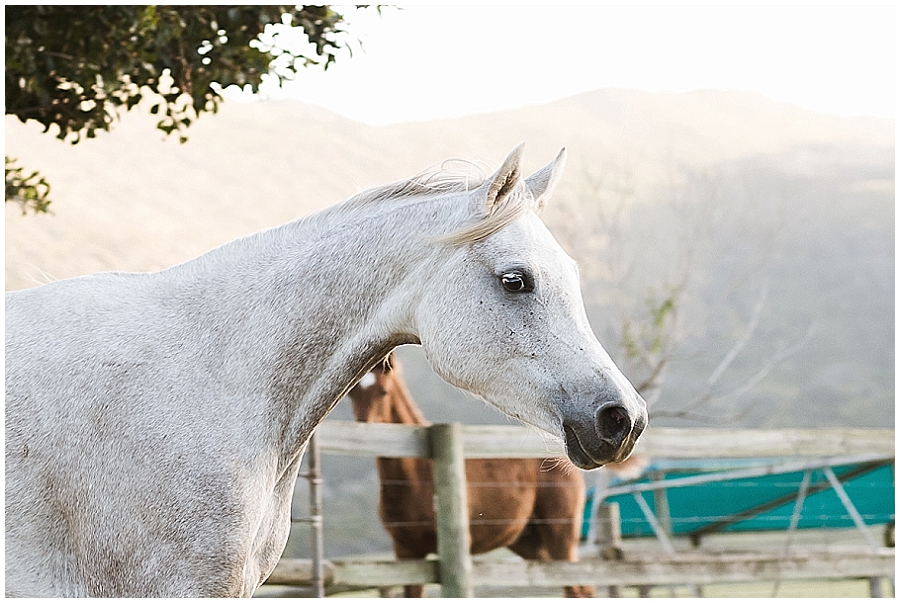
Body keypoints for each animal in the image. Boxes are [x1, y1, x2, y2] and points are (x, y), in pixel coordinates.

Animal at [349, 354, 595, 597]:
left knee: (579, 588)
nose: (363, 431)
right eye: (352, 393)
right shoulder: (407, 551)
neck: (419, 474)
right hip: (530, 543)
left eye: (383, 391)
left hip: (560, 535)